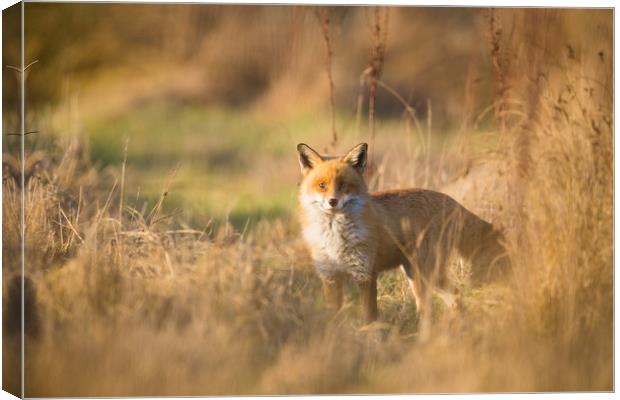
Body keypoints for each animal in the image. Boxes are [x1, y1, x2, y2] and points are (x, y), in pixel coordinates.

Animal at [298, 142, 512, 324]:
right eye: (322, 185)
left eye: (344, 185)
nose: (332, 201)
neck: (335, 236)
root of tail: (451, 200)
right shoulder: (330, 278)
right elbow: (332, 318)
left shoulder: (366, 275)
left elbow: (369, 317)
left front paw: (370, 338)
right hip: (416, 275)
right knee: (450, 298)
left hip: (426, 274)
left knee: (449, 297)